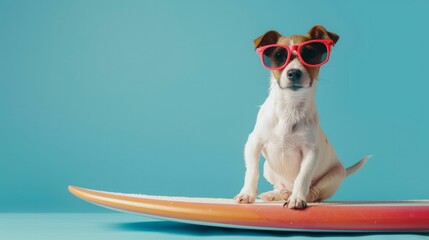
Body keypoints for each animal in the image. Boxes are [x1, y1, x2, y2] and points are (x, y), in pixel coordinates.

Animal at [232, 24, 370, 208]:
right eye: (279, 56)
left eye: (310, 55)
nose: (294, 73)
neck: (290, 107)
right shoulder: (254, 142)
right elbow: (252, 171)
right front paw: (247, 193)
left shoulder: (310, 152)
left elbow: (303, 177)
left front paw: (297, 198)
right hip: (268, 168)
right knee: (280, 186)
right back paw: (277, 193)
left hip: (335, 174)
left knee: (315, 191)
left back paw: (299, 195)